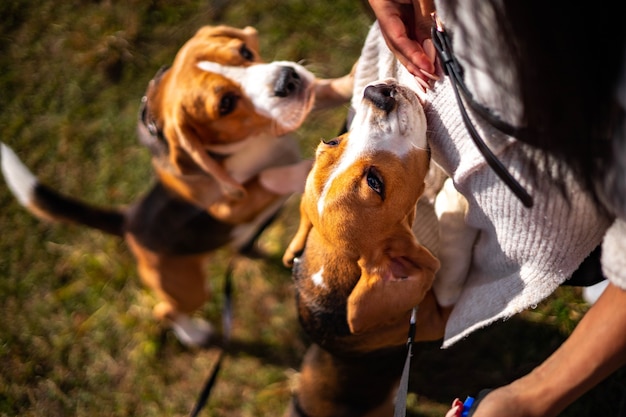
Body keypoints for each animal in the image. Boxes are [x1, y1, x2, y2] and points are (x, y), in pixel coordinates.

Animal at [0, 25, 352, 348]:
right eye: (225, 104)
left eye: (245, 52)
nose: (287, 80)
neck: (257, 141)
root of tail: (129, 219)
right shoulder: (228, 205)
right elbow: (267, 177)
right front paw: (322, 172)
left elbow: (326, 91)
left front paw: (352, 83)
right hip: (188, 289)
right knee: (166, 311)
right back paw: (194, 334)